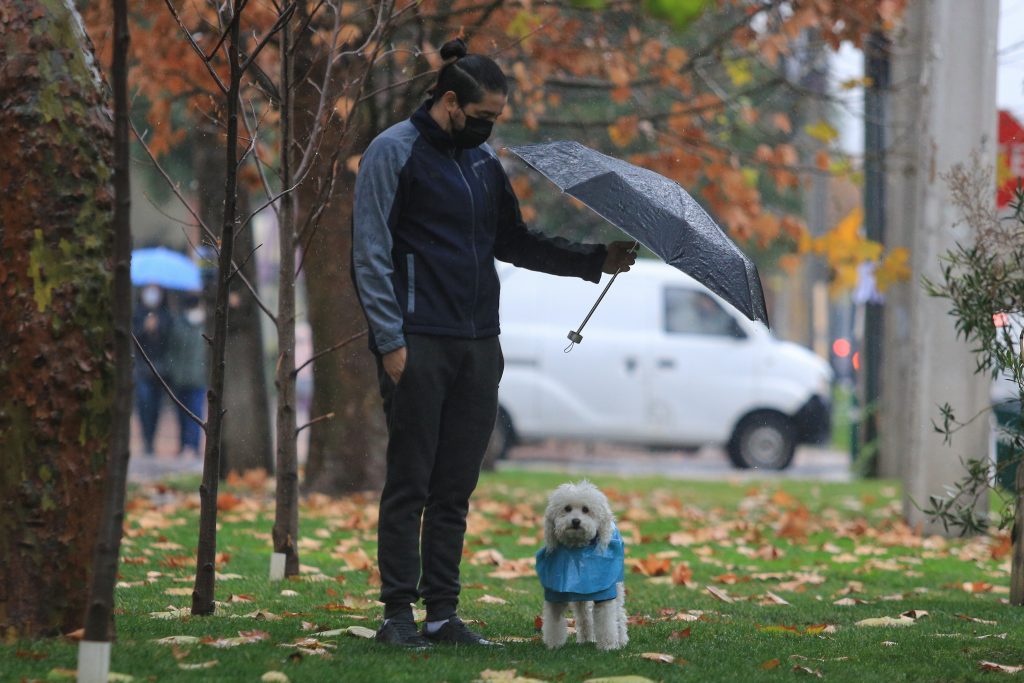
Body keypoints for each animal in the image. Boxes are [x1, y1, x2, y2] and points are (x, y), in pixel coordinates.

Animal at [532, 481, 626, 651]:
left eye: (586, 509)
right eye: (567, 508)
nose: (575, 521)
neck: (577, 550)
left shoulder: (605, 592)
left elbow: (607, 621)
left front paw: (608, 646)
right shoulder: (555, 594)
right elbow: (553, 623)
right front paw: (553, 645)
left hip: (616, 584)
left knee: (619, 613)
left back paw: (621, 639)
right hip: (580, 597)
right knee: (584, 616)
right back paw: (586, 638)